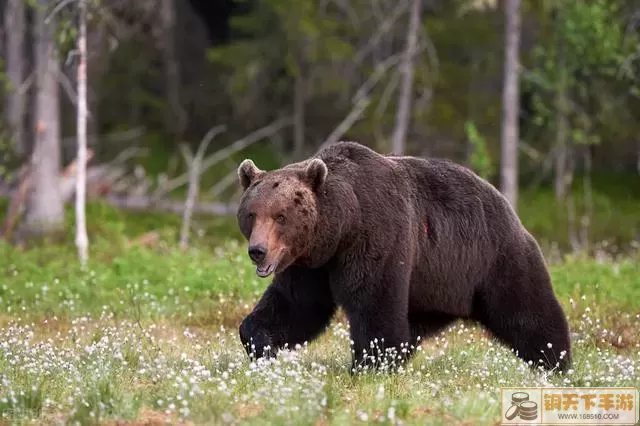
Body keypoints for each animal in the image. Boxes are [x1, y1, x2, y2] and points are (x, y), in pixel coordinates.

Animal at [234, 141, 568, 372]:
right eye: (251, 214)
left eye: (280, 216)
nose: (258, 251)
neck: (341, 229)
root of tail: (506, 203)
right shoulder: (310, 263)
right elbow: (296, 306)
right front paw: (260, 343)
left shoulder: (378, 236)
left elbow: (374, 302)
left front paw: (370, 365)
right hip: (434, 284)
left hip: (493, 258)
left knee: (526, 309)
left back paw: (555, 360)